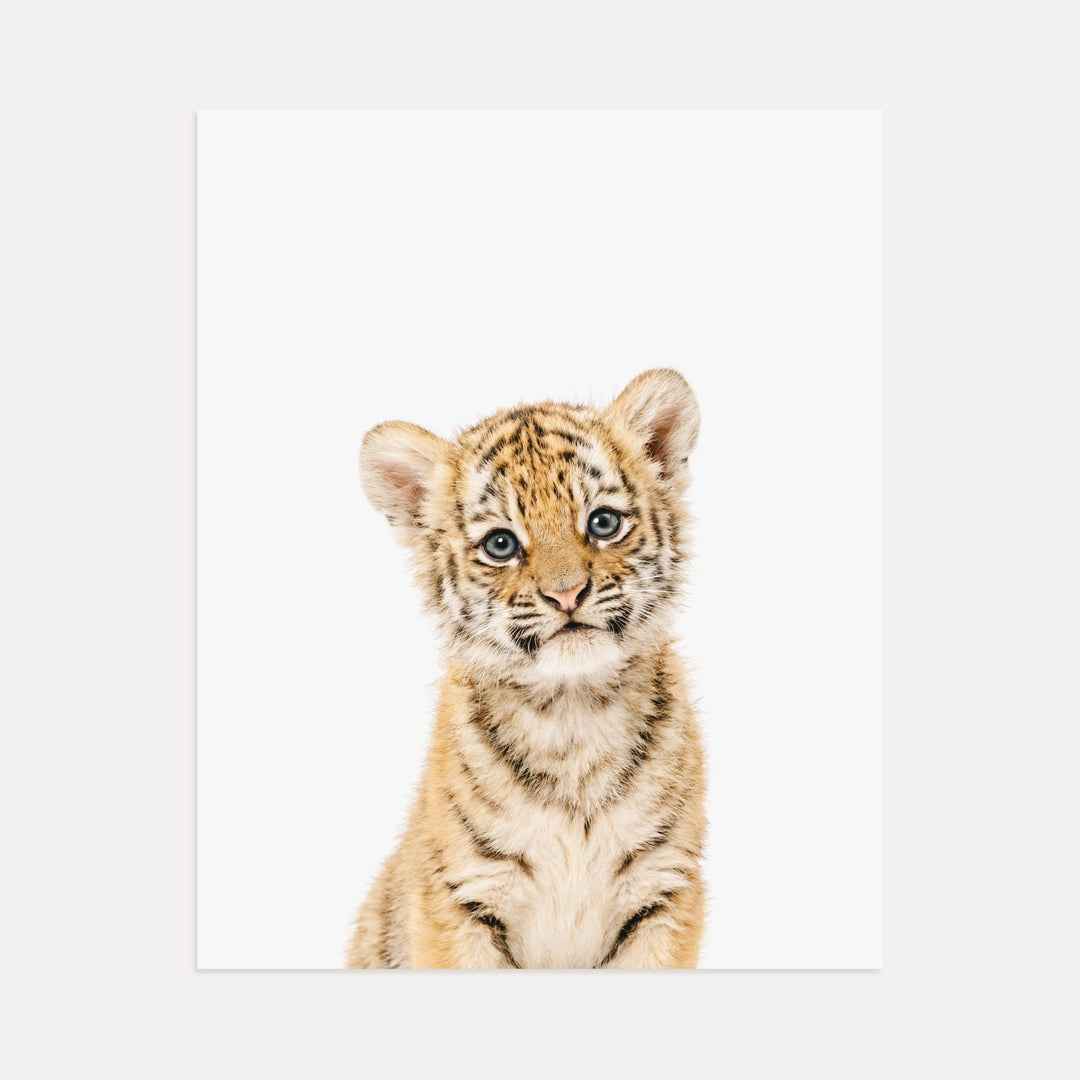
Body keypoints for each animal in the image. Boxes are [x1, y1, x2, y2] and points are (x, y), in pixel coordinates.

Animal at [346, 368, 706, 969]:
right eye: (501, 544)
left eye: (602, 523)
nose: (566, 594)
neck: (573, 712)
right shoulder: (460, 898)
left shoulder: (664, 890)